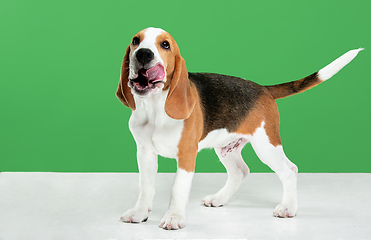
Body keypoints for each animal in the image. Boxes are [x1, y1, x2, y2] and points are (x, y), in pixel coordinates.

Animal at [117, 27, 364, 230]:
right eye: (135, 41)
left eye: (165, 45)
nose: (143, 54)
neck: (155, 108)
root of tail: (264, 88)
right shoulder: (145, 153)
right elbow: (145, 186)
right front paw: (139, 213)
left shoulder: (187, 155)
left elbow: (177, 188)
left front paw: (174, 218)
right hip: (226, 147)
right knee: (240, 171)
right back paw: (219, 199)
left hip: (266, 145)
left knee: (289, 170)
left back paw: (288, 208)